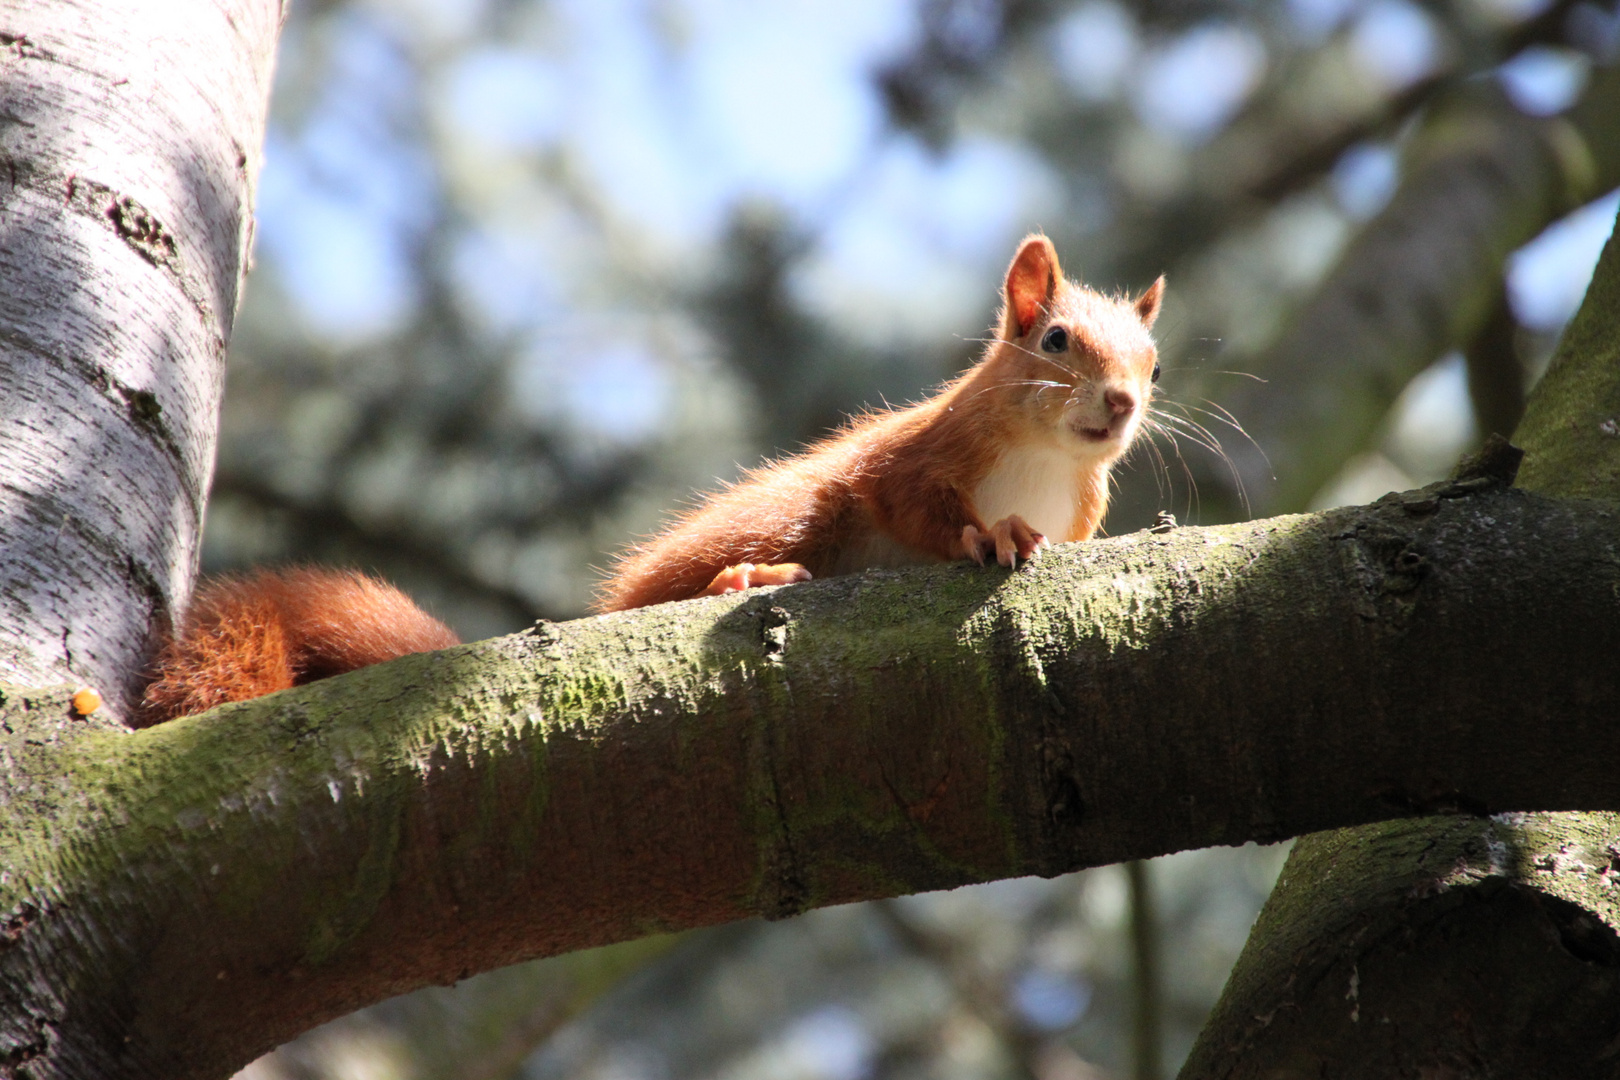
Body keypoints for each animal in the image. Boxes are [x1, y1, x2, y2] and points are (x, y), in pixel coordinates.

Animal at [596, 233, 1166, 612]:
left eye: (1155, 368)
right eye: (1054, 339)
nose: (1121, 401)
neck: (1047, 456)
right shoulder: (918, 452)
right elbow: (909, 501)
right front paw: (994, 533)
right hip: (785, 516)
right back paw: (742, 579)